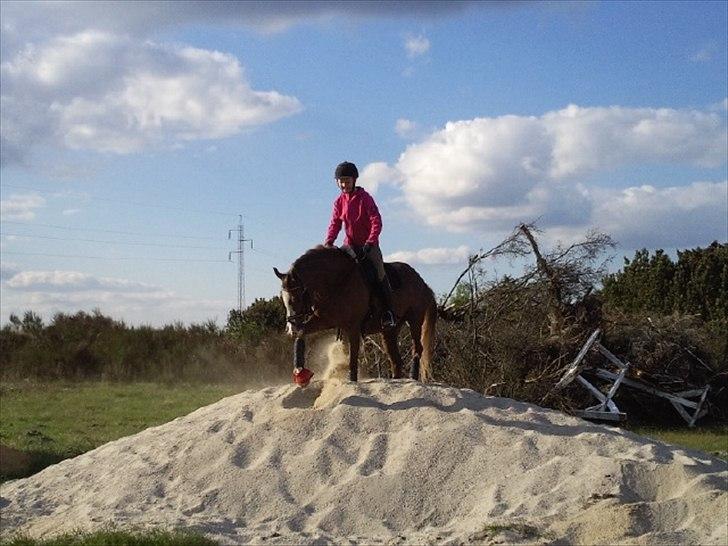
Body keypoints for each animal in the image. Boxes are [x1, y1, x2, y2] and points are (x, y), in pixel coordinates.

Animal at [276, 244, 438, 380]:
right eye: (283, 299)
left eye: (296, 298)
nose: (290, 328)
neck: (337, 281)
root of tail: (423, 283)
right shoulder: (324, 320)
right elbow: (302, 332)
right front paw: (300, 373)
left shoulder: (353, 326)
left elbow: (352, 357)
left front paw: (352, 379)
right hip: (389, 331)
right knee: (396, 360)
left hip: (414, 320)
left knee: (417, 348)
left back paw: (413, 377)